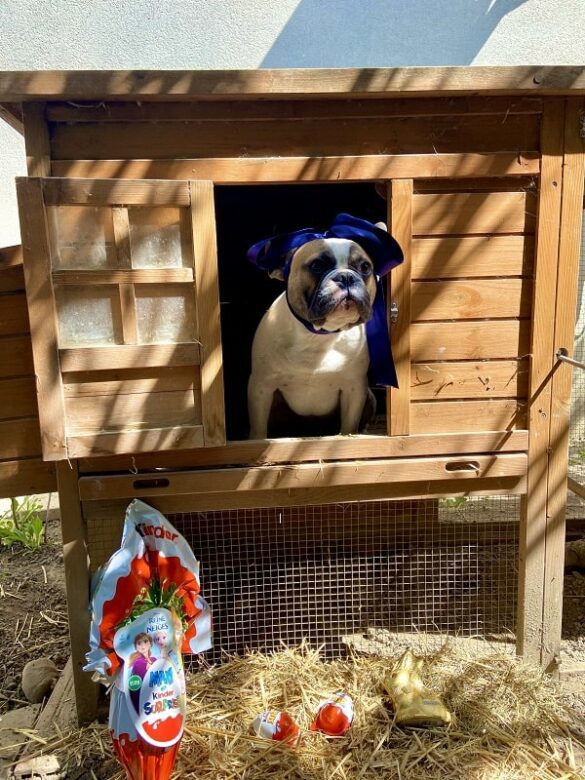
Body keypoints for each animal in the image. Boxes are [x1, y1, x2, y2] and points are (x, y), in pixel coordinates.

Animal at [245, 213, 402, 438]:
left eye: (364, 267)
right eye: (317, 266)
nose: (346, 276)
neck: (318, 337)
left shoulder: (353, 389)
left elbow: (348, 427)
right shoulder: (261, 388)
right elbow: (258, 429)